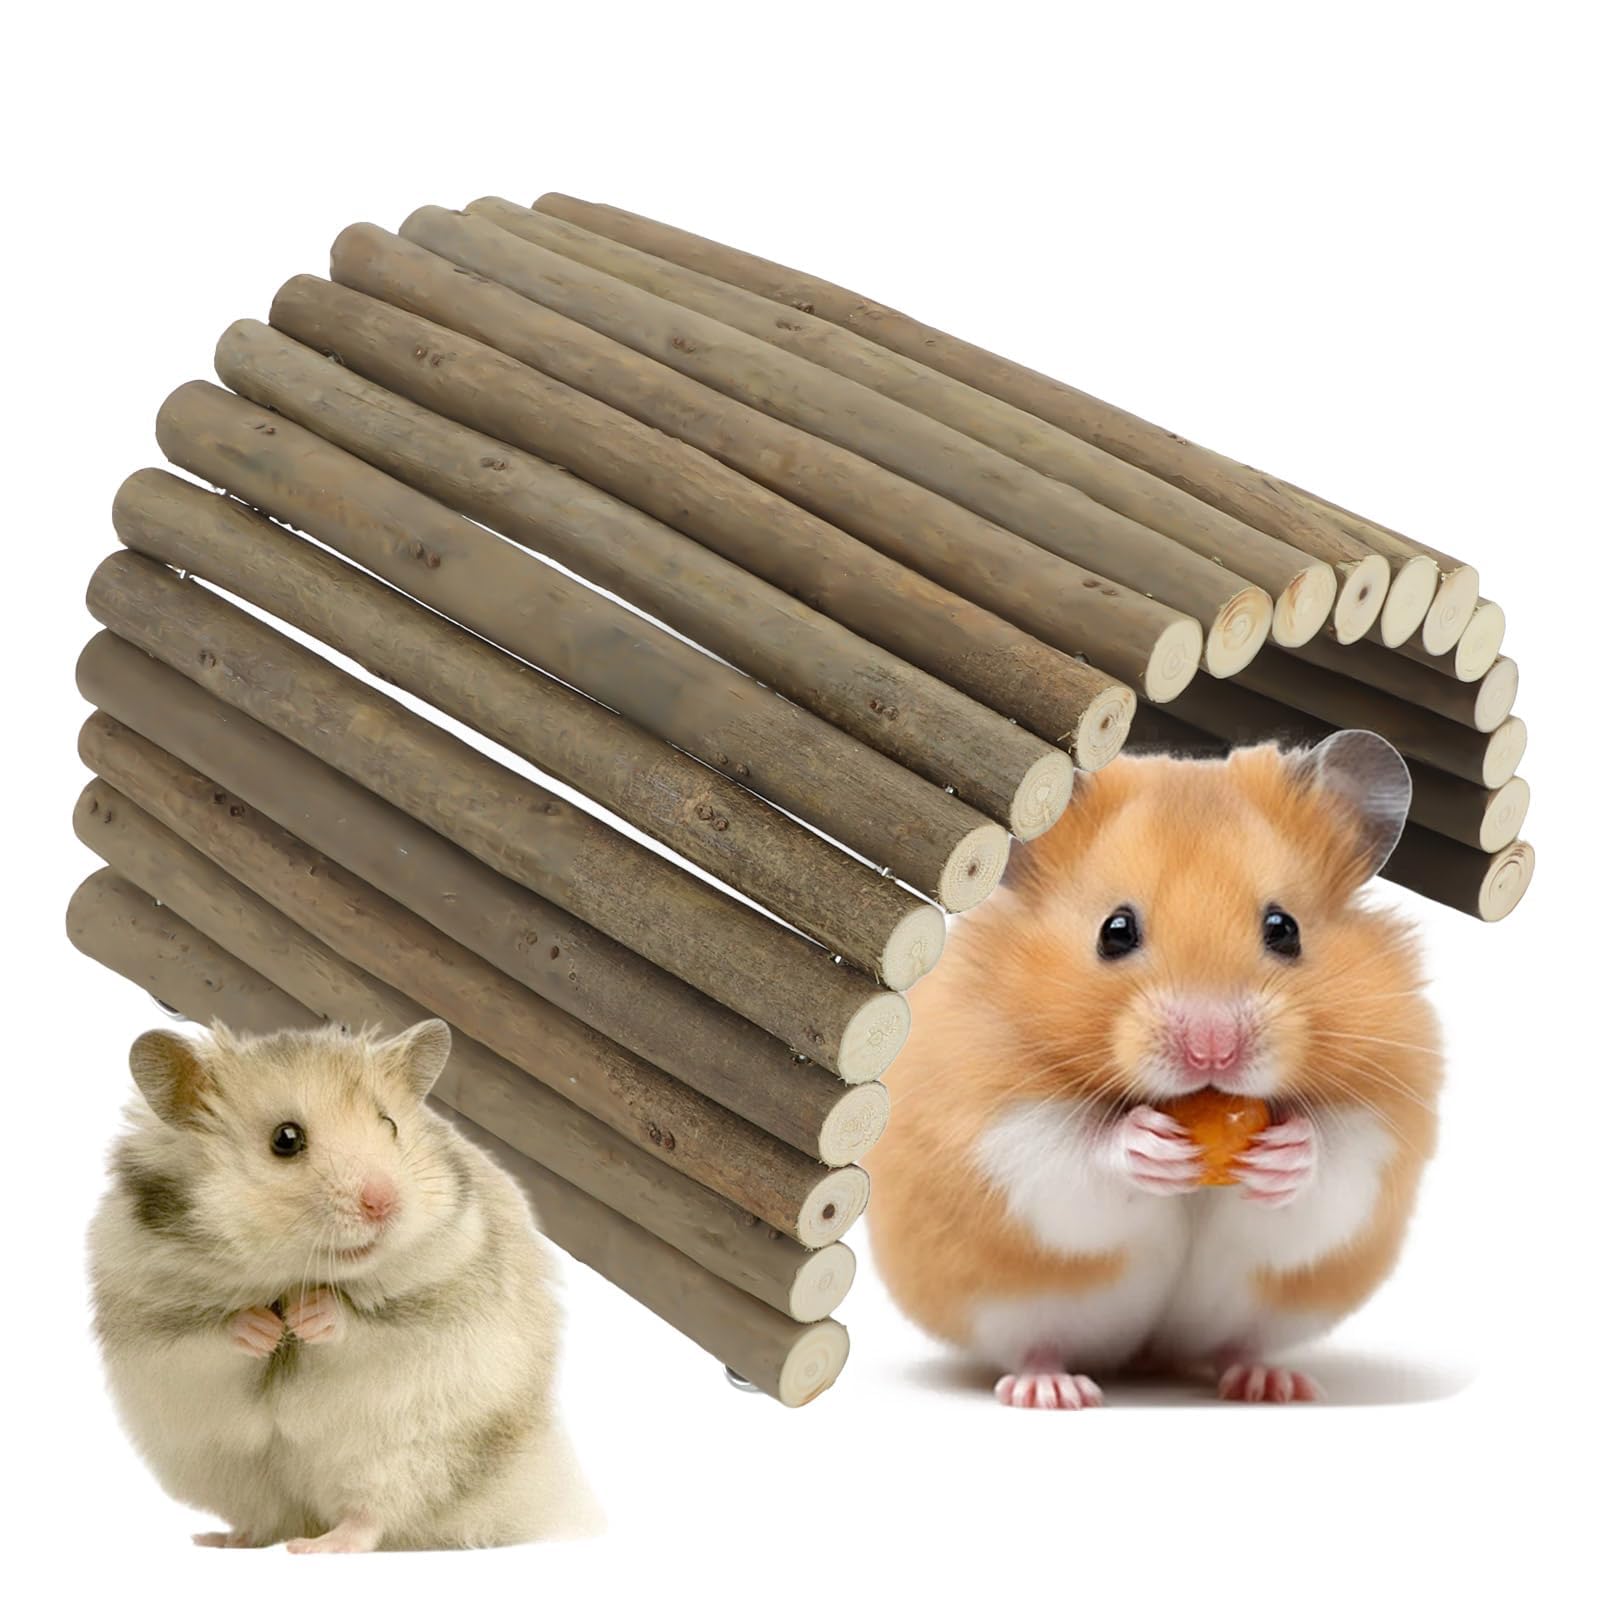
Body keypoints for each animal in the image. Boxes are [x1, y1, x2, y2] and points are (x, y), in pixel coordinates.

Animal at [88, 1018, 600, 1550]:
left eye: (390, 1124)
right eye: (286, 1139)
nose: (384, 1202)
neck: (294, 1274)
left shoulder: (438, 1303)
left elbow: (361, 1327)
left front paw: (306, 1317)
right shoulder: (152, 1322)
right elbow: (212, 1335)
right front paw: (265, 1329)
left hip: (405, 1457)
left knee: (370, 1518)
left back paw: (316, 1548)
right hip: (230, 1472)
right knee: (269, 1520)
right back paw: (222, 1540)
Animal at [868, 731, 1442, 1407]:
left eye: (1284, 929)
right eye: (1114, 931)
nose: (1213, 1050)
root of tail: (1147, 1355)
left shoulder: (1381, 1128)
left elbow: (1335, 1166)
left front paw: (1286, 1153)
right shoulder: (992, 1122)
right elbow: (1070, 1153)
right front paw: (1148, 1146)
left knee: (1237, 1346)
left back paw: (1273, 1383)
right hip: (1008, 1305)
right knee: (1035, 1346)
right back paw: (1053, 1392)